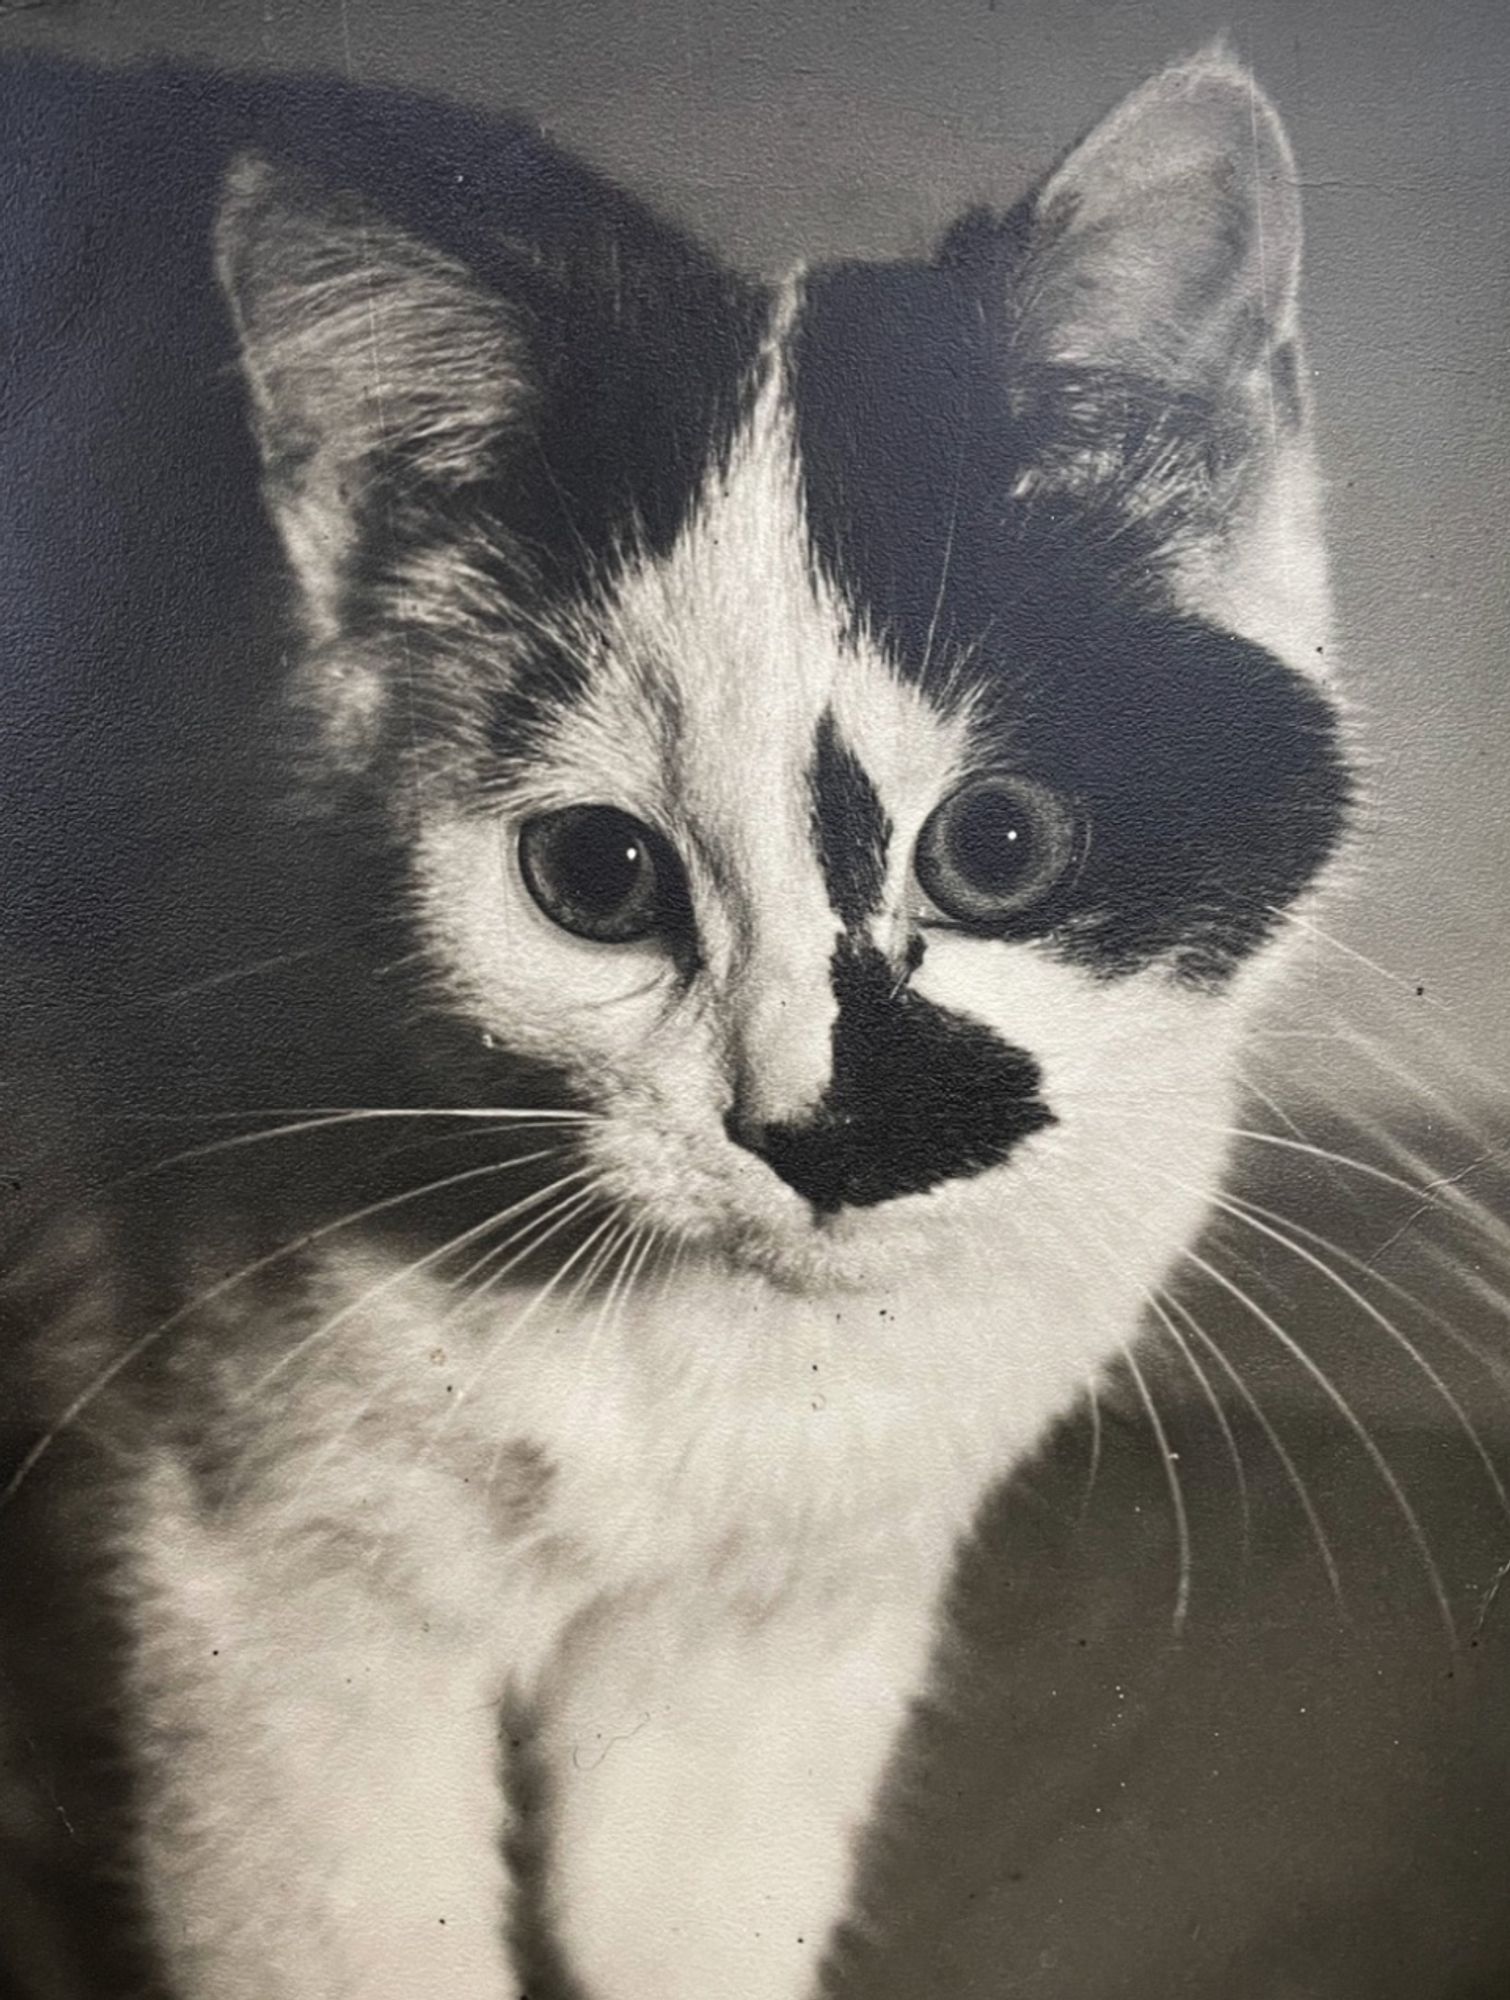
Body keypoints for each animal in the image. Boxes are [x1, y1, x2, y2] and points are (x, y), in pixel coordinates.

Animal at [0, 43, 1344, 2000]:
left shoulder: (777, 1644)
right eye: (595, 873)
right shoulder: (262, 1596)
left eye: (999, 847)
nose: (815, 1124)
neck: (729, 1371)